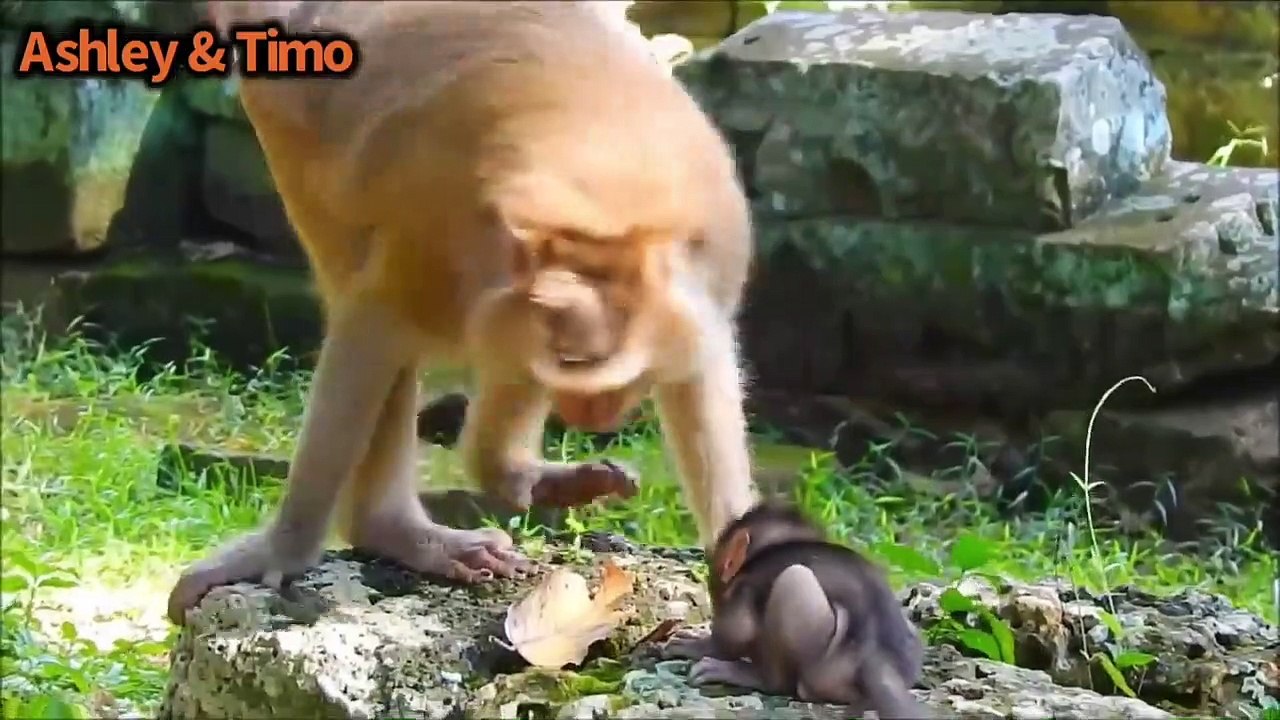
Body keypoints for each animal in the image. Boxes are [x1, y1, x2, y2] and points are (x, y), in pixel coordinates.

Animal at [166, 0, 759, 624]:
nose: (590, 413)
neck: (602, 209)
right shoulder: (442, 241)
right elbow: (374, 325)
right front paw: (286, 547)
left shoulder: (703, 278)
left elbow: (696, 379)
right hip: (289, 112)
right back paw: (392, 528)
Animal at [662, 502, 928, 718]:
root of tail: (877, 658)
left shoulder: (745, 587)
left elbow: (735, 633)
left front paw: (694, 645)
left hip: (824, 667)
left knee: (793, 579)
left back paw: (750, 675)